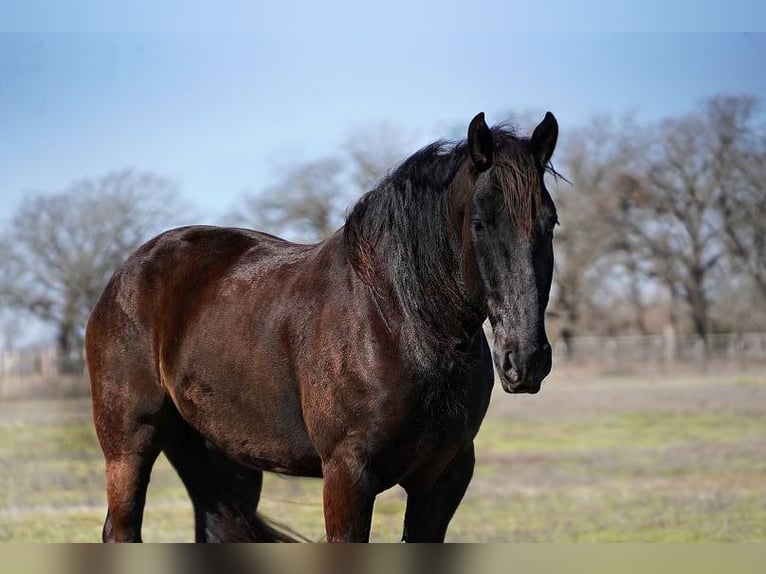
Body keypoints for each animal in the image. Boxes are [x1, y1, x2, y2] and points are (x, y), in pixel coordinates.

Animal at [86, 111, 559, 542]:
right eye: (479, 223)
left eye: (550, 222)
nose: (525, 359)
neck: (403, 325)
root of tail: (127, 273)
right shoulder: (348, 475)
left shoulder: (444, 477)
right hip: (129, 445)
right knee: (121, 528)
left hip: (224, 459)